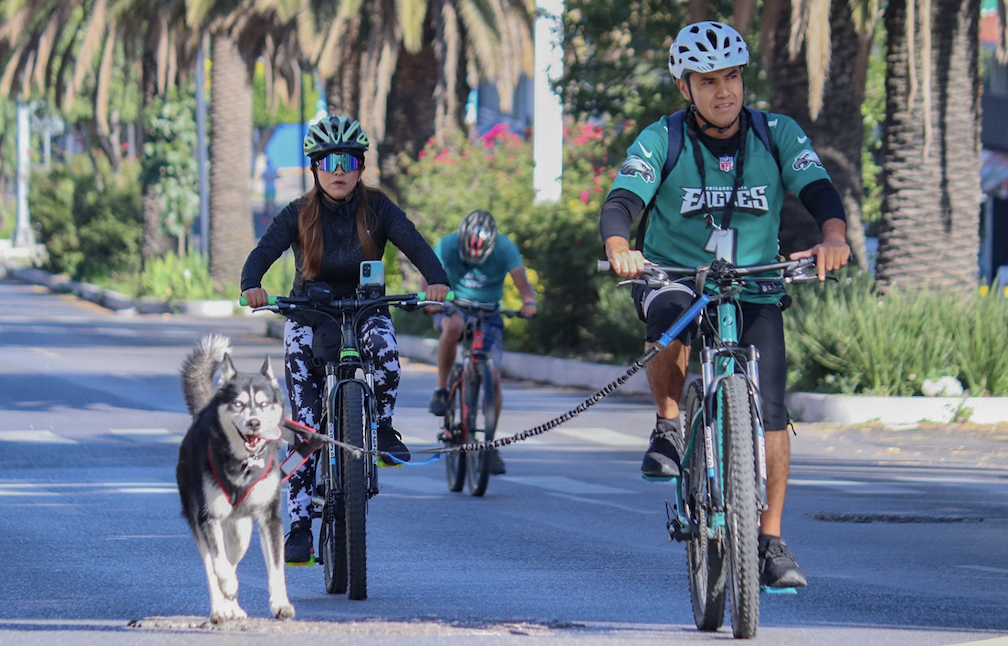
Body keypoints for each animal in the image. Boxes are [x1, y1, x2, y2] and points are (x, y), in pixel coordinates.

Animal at [175, 332, 294, 620]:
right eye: (238, 404)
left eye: (263, 404)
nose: (254, 423)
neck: (243, 464)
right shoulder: (208, 516)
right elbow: (219, 565)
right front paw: (228, 586)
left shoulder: (269, 518)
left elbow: (276, 567)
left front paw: (280, 604)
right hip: (200, 520)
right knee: (212, 565)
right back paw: (222, 607)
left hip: (240, 531)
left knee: (232, 557)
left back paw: (233, 607)